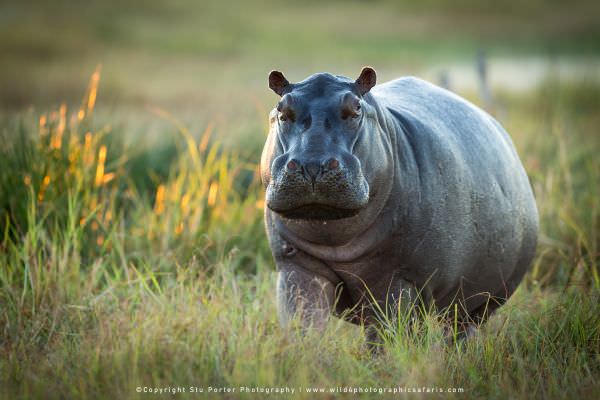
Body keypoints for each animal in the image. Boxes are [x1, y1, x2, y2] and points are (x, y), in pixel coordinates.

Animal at [262, 66, 540, 344]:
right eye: (281, 109)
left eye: (356, 108)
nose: (312, 165)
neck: (336, 243)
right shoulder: (297, 266)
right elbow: (303, 324)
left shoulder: (401, 279)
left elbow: (386, 335)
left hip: (480, 301)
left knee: (461, 329)